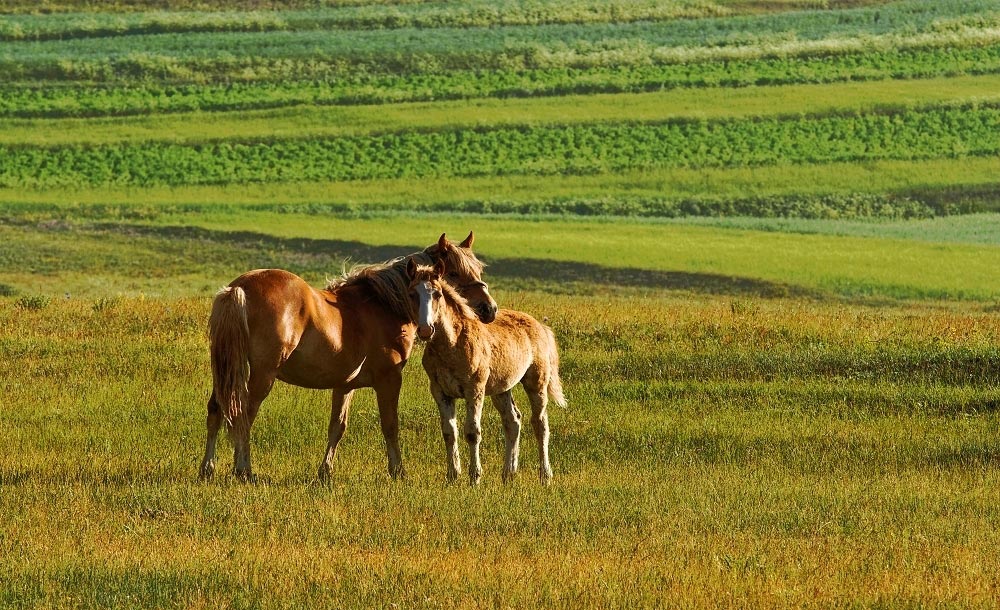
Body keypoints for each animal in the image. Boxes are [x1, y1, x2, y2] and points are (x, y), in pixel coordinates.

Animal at [201, 232, 498, 480]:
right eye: (456, 273)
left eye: (479, 270)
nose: (489, 309)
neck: (384, 305)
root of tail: (239, 288)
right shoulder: (389, 379)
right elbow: (390, 425)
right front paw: (398, 471)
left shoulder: (344, 384)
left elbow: (337, 427)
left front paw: (325, 472)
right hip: (262, 374)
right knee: (243, 414)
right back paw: (243, 470)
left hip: (225, 368)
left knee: (217, 409)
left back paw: (208, 468)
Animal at [404, 258, 564, 484]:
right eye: (412, 293)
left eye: (437, 294)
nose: (426, 330)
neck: (452, 343)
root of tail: (540, 326)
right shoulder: (440, 392)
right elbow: (449, 432)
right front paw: (452, 476)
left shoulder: (475, 390)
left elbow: (472, 432)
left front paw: (474, 478)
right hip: (501, 389)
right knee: (513, 421)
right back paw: (508, 474)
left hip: (536, 383)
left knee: (540, 424)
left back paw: (545, 475)